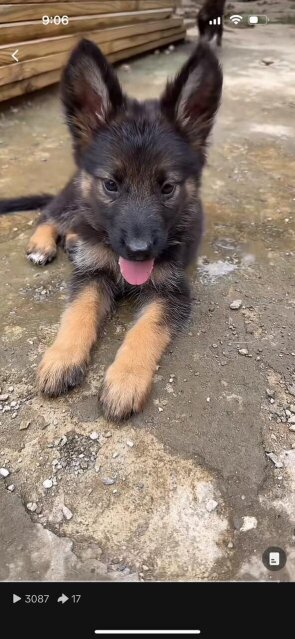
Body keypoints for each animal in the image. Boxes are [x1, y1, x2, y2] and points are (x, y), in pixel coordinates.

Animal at [0, 40, 222, 420]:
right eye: (111, 185)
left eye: (167, 188)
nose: (139, 250)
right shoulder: (90, 275)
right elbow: (78, 312)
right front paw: (61, 358)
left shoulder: (171, 292)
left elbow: (146, 330)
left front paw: (125, 380)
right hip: (73, 199)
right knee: (48, 214)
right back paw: (43, 244)